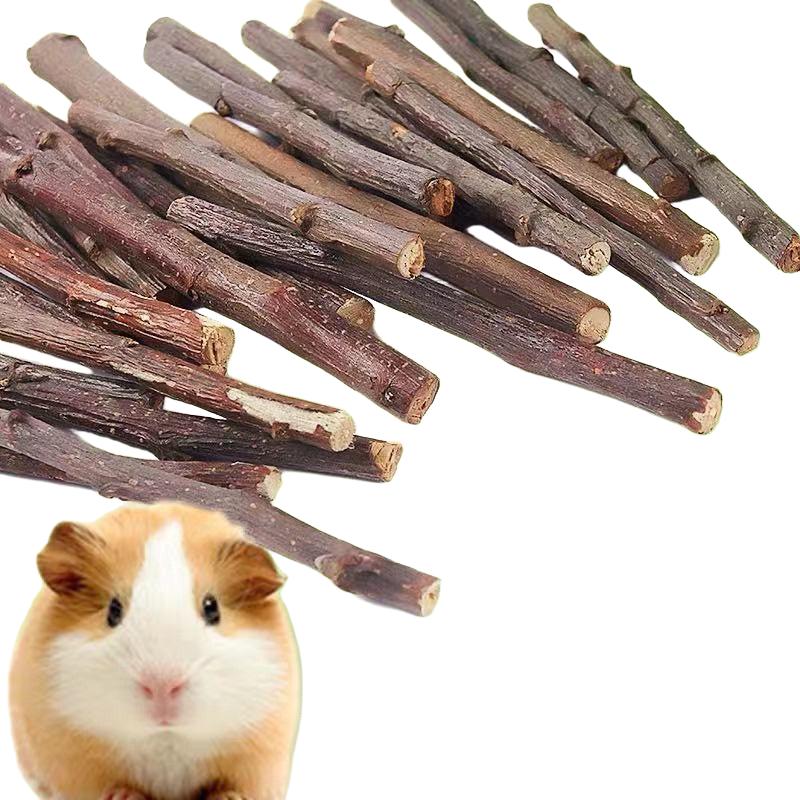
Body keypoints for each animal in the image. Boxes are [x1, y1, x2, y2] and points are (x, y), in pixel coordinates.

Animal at [9, 502, 301, 800]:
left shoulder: (259, 754)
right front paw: (124, 796)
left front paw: (229, 797)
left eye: (212, 608)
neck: (166, 738)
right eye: (113, 611)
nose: (162, 686)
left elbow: (234, 786)